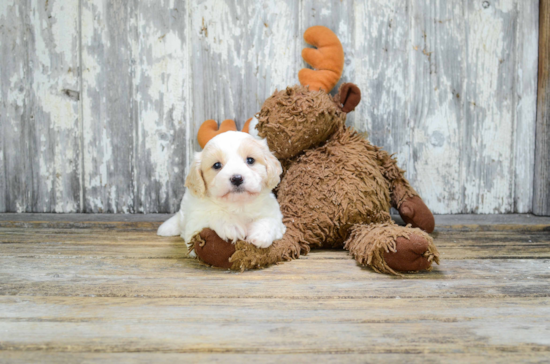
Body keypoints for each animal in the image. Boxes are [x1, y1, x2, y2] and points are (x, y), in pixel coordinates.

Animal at [157, 129, 286, 255]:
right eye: (217, 165)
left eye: (250, 160)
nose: (237, 178)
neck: (238, 204)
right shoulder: (194, 224)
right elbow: (213, 213)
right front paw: (231, 225)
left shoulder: (275, 215)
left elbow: (270, 220)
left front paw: (261, 235)